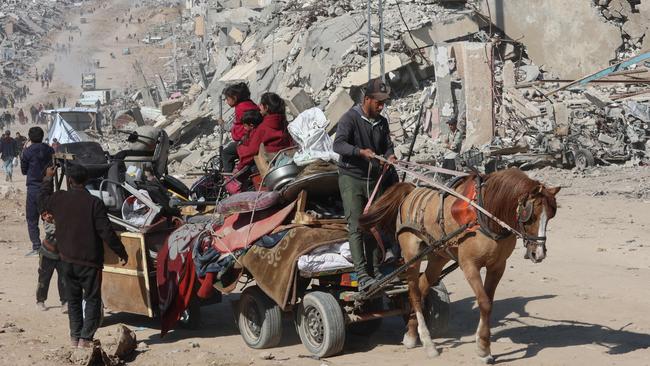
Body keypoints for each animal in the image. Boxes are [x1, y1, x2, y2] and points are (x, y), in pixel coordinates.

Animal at [356, 168, 560, 364]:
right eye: (530, 215)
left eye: (550, 216)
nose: (538, 253)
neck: (484, 216)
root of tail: (411, 190)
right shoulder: (469, 265)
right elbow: (484, 302)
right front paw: (483, 349)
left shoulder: (497, 266)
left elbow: (489, 302)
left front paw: (483, 345)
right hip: (411, 255)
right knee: (413, 293)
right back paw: (427, 342)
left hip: (437, 256)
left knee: (422, 288)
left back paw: (411, 334)